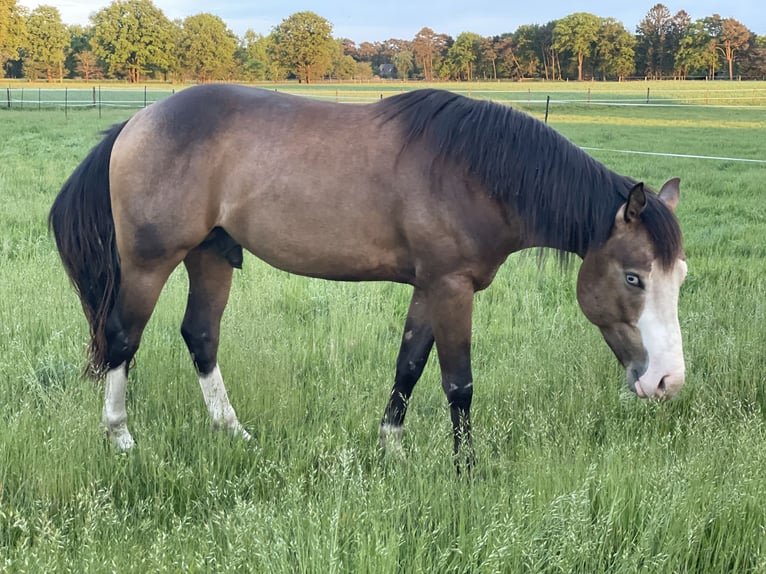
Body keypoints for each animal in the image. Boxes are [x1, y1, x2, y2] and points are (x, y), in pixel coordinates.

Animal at [49, 85, 686, 463]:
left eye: (679, 277)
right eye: (633, 278)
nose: (667, 382)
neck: (477, 173)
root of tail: (137, 122)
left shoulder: (431, 287)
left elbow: (409, 365)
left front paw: (392, 449)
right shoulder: (452, 288)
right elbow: (459, 383)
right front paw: (466, 470)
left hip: (211, 256)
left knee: (200, 335)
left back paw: (234, 432)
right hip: (149, 263)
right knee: (121, 338)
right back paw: (120, 436)